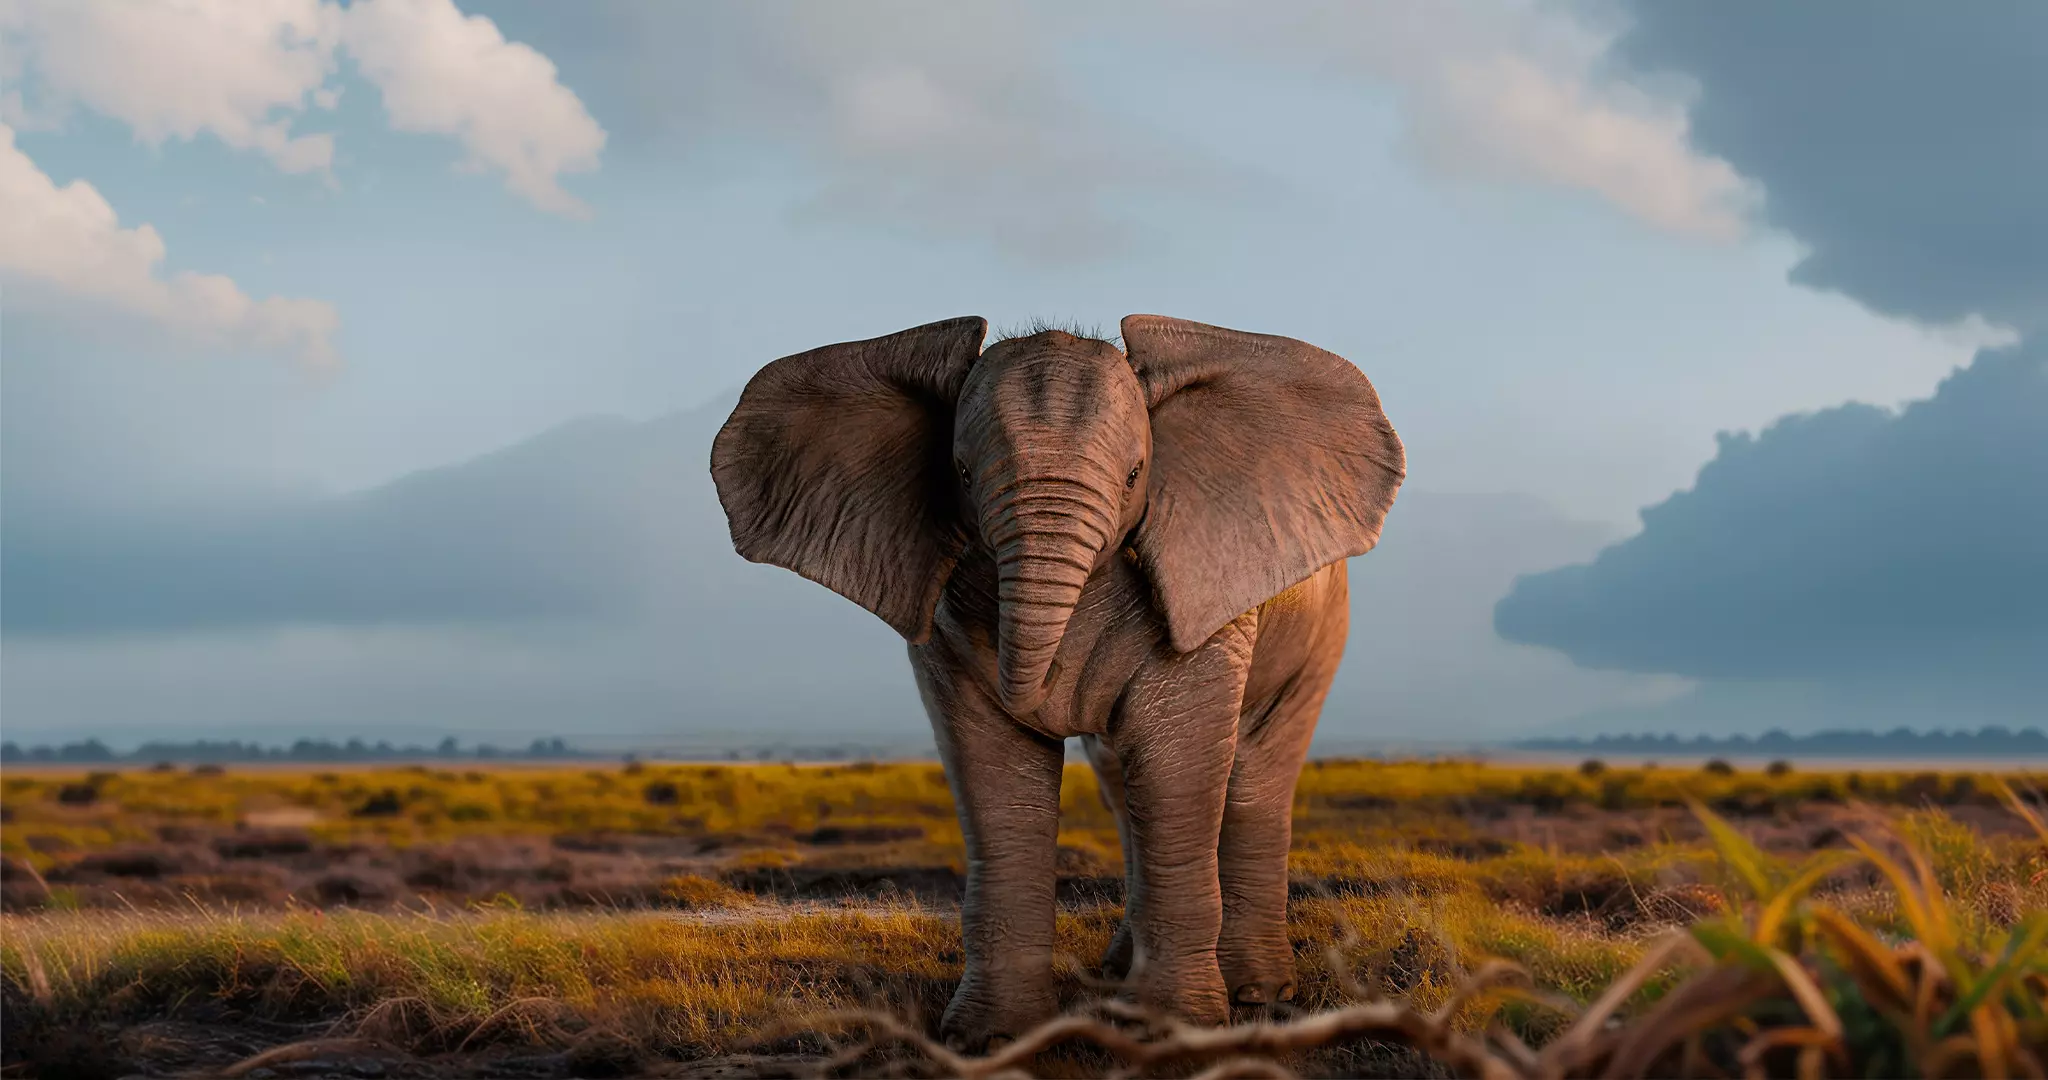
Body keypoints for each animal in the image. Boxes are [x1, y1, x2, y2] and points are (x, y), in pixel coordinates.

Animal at [709, 314, 1404, 1048]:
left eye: (1134, 476)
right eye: (960, 473)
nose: (1055, 699)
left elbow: (1177, 763)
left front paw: (1174, 1031)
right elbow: (996, 773)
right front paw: (989, 1039)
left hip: (1321, 635)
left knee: (1253, 778)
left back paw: (1258, 993)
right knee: (1123, 788)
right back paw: (1120, 972)